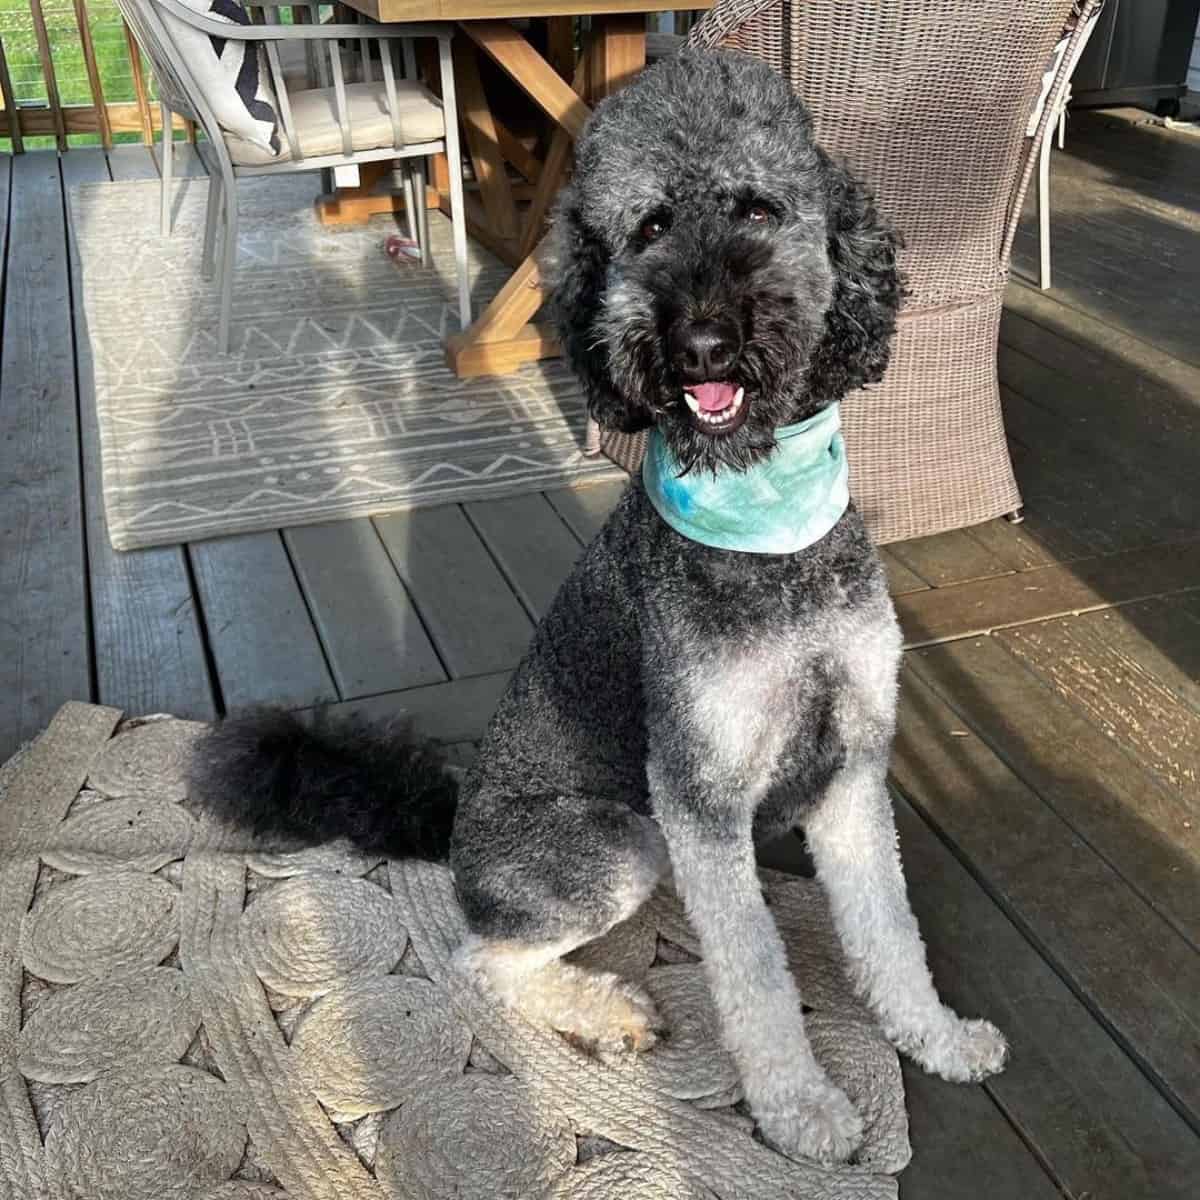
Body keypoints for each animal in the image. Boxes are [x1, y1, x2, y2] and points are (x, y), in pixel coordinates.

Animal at [192, 46, 1008, 1161]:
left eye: (760, 209)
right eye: (648, 228)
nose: (700, 341)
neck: (769, 531)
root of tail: (455, 822)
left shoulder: (852, 764)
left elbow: (889, 927)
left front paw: (935, 1037)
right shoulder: (698, 800)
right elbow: (754, 973)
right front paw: (799, 1106)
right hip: (621, 842)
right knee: (480, 960)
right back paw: (608, 1011)